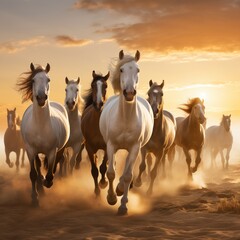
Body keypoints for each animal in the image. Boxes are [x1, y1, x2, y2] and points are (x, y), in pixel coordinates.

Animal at [16, 63, 69, 206]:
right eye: (33, 80)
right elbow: (33, 174)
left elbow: (50, 172)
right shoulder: (30, 150)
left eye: (48, 79)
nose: (41, 98)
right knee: (38, 166)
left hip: (60, 148)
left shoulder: (52, 151)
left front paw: (47, 181)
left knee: (57, 162)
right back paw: (40, 187)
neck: (40, 125)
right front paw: (35, 198)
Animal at [99, 50, 154, 216]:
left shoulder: (135, 147)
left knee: (126, 170)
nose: (129, 93)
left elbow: (128, 175)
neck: (126, 118)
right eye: (122, 70)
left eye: (138, 70)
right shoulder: (111, 146)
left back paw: (120, 188)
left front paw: (123, 205)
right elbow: (111, 172)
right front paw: (111, 198)